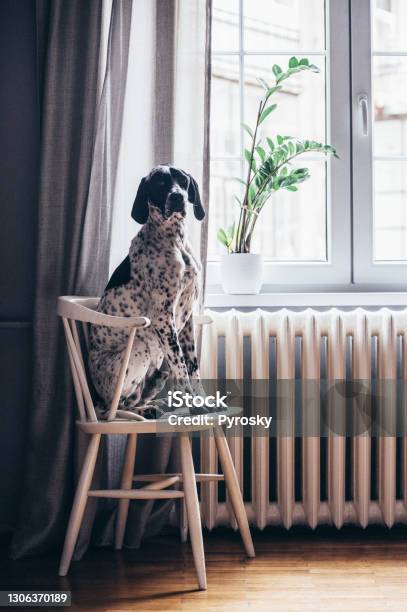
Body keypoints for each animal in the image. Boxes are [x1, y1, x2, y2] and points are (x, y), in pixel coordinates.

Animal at [88, 165, 206, 418]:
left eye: (183, 181)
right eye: (159, 183)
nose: (177, 197)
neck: (174, 240)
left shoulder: (187, 318)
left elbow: (193, 366)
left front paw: (204, 400)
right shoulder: (163, 318)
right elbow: (181, 367)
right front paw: (194, 404)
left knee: (136, 398)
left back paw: (153, 405)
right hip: (139, 349)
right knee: (113, 408)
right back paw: (144, 411)